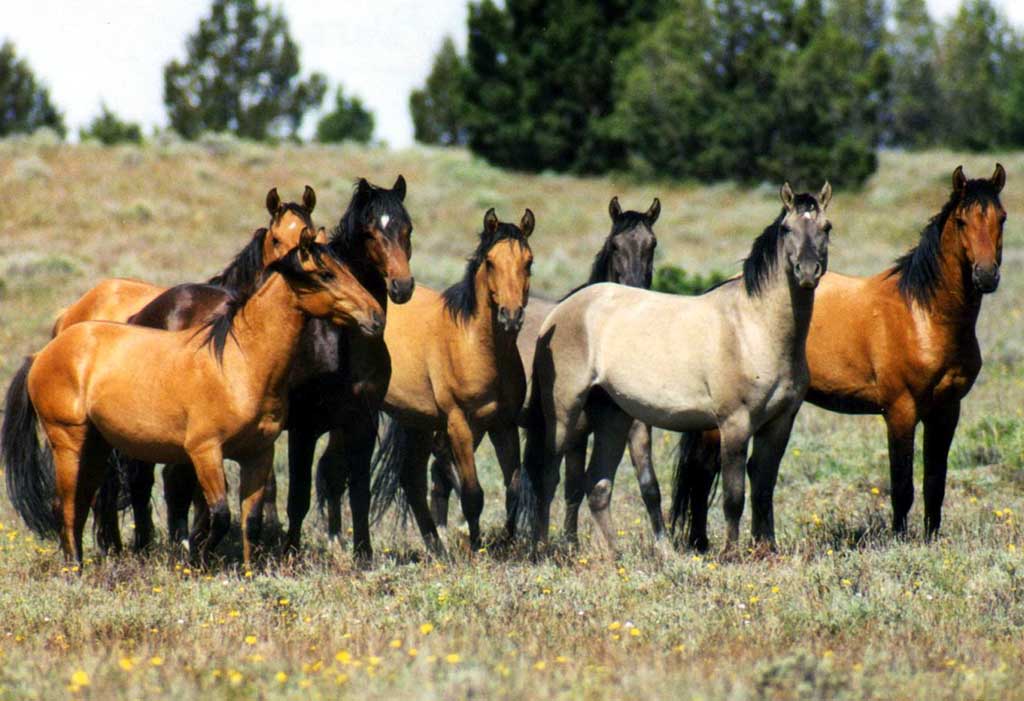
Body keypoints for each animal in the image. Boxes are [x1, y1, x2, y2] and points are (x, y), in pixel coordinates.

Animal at [2, 232, 385, 564]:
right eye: (325, 274)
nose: (376, 317)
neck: (240, 363)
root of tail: (43, 353)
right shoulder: (205, 452)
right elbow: (220, 515)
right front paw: (196, 558)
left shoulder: (258, 454)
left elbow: (251, 520)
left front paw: (248, 571)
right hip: (69, 441)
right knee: (65, 505)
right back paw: (75, 568)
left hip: (96, 444)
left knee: (82, 502)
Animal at [372, 207, 540, 552]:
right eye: (490, 262)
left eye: (528, 261)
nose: (511, 316)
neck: (474, 344)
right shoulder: (459, 424)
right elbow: (473, 493)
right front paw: (476, 547)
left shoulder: (502, 425)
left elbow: (513, 489)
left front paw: (507, 543)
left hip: (417, 421)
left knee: (412, 478)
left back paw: (437, 547)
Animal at [425, 196, 659, 540]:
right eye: (616, 245)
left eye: (652, 245)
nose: (634, 292)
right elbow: (555, 483)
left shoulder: (616, 427)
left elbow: (636, 487)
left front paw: (571, 540)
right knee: (441, 474)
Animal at [520, 183, 831, 556]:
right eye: (787, 229)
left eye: (826, 227)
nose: (807, 271)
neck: (752, 328)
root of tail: (557, 314)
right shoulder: (734, 423)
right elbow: (734, 496)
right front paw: (731, 553)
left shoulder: (780, 423)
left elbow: (763, 488)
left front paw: (765, 550)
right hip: (565, 414)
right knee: (548, 476)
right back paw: (541, 549)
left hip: (612, 416)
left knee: (597, 484)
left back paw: (614, 556)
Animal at [675, 163, 1003, 548]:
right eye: (963, 221)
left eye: (1001, 218)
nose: (986, 276)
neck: (923, 317)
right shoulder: (900, 411)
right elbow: (902, 486)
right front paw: (899, 541)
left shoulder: (947, 411)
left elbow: (934, 484)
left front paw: (931, 539)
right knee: (704, 471)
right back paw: (700, 543)